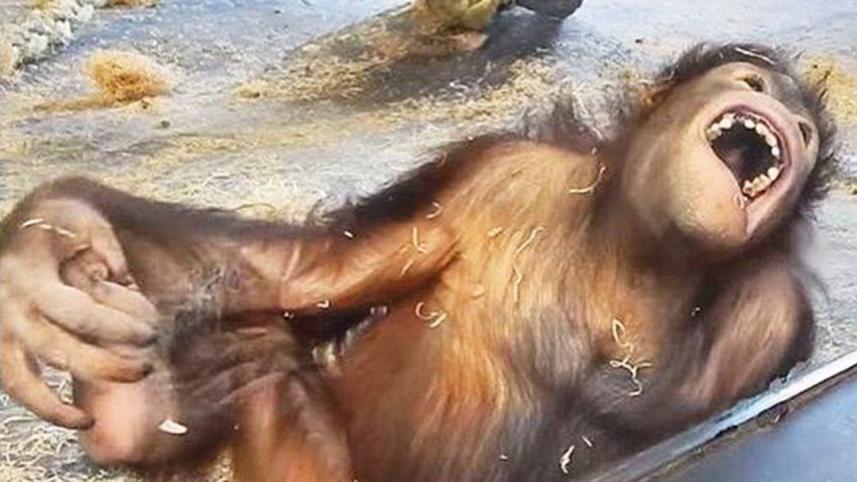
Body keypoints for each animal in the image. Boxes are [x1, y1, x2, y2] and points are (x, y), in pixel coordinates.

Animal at [0, 43, 837, 481]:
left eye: (802, 129)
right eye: (749, 83)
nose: (783, 115)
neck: (637, 243)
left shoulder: (771, 313)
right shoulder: (489, 173)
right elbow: (312, 273)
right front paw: (51, 237)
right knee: (262, 357)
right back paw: (128, 411)